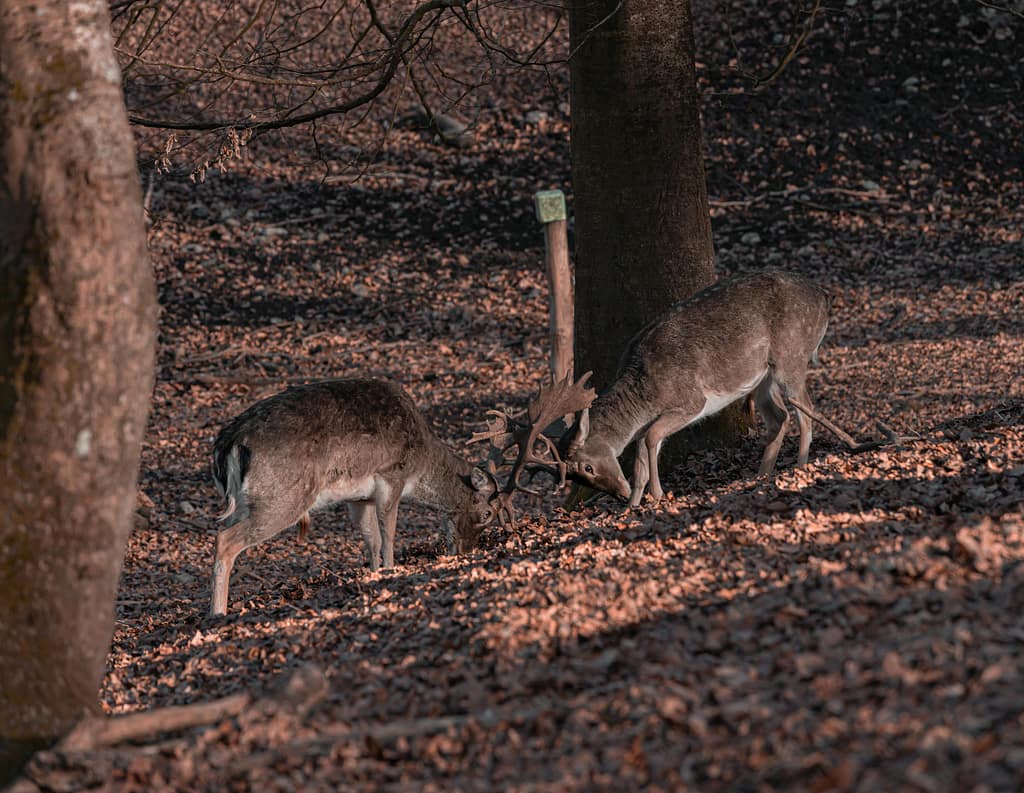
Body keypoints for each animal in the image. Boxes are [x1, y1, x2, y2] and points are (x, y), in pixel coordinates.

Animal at [209, 378, 503, 616]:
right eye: (487, 513)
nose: (466, 551)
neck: (421, 464)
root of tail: (228, 444)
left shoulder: (360, 499)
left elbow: (371, 540)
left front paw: (374, 575)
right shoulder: (391, 475)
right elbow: (388, 535)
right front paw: (391, 571)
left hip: (245, 503)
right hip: (283, 497)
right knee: (225, 539)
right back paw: (217, 613)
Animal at [484, 271, 876, 509]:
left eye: (587, 469)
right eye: (580, 477)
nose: (619, 494)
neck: (644, 391)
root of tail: (825, 296)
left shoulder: (691, 400)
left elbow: (650, 438)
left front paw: (656, 495)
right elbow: (642, 455)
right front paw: (635, 503)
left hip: (792, 355)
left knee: (804, 408)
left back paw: (801, 464)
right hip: (762, 377)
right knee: (780, 416)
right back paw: (762, 473)